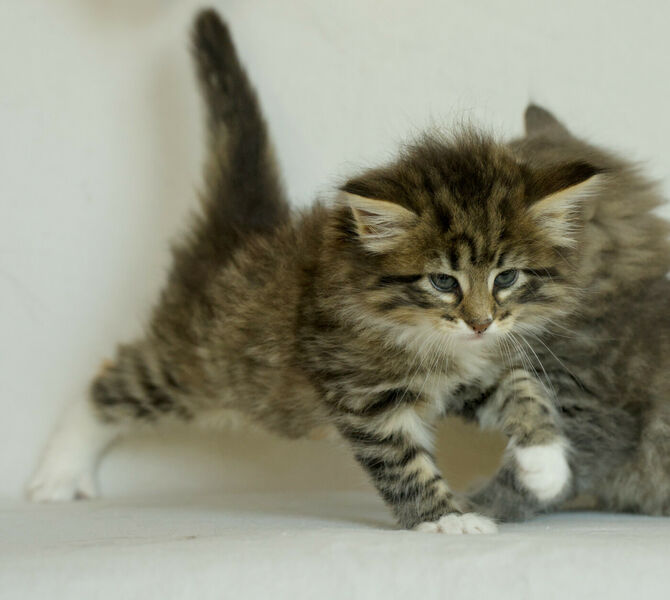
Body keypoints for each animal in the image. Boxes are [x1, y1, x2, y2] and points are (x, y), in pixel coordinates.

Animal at [27, 9, 624, 532]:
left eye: (505, 278)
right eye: (442, 281)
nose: (480, 322)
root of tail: (239, 236)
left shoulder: (468, 374)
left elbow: (522, 387)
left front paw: (545, 465)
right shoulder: (363, 396)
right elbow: (403, 463)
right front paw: (446, 520)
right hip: (199, 366)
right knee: (112, 383)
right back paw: (58, 469)